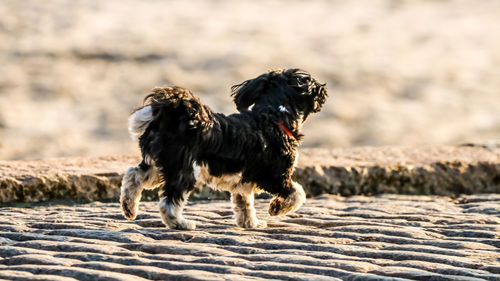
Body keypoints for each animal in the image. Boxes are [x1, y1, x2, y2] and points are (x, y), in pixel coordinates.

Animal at [119, 69, 326, 229]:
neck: (274, 116)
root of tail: (171, 112)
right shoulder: (275, 177)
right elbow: (298, 193)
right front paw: (277, 208)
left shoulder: (244, 182)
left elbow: (244, 203)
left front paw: (250, 224)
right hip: (183, 170)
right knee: (168, 202)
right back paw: (181, 224)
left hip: (157, 163)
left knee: (133, 175)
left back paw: (129, 207)